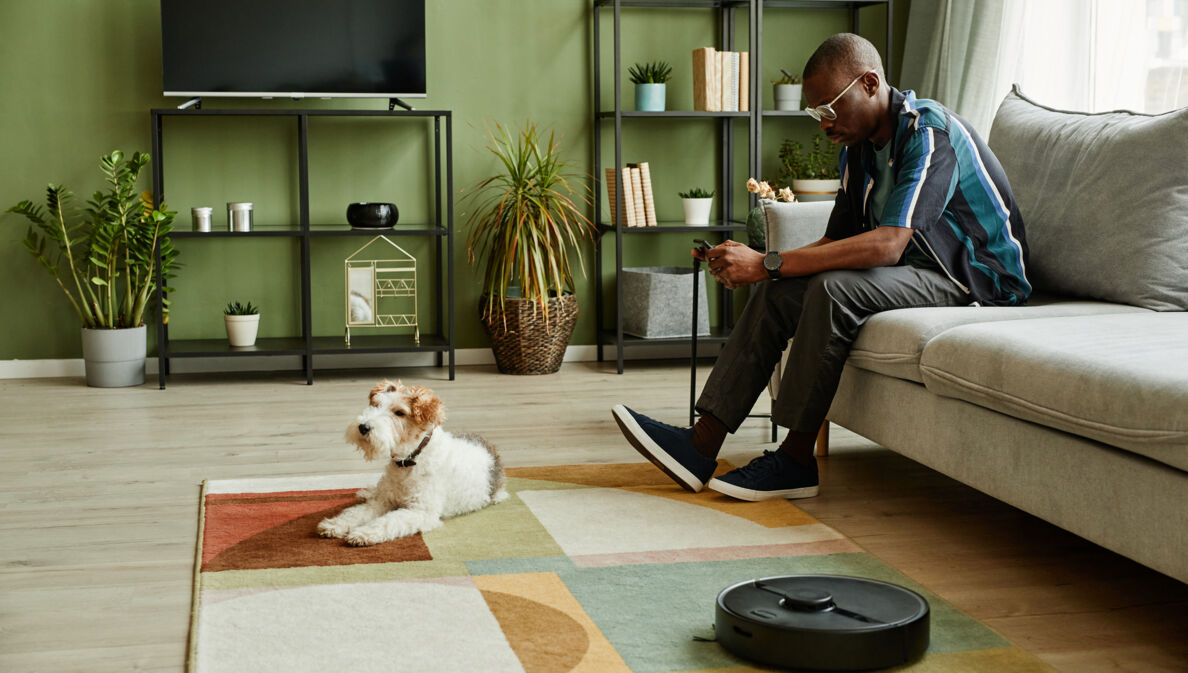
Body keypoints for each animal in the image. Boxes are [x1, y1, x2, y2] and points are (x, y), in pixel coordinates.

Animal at [316, 380, 506, 549]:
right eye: (376, 404)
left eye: (400, 412)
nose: (363, 427)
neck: (409, 460)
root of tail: (490, 448)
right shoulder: (384, 501)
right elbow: (356, 513)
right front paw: (334, 524)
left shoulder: (420, 511)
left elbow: (387, 521)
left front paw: (363, 534)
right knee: (374, 493)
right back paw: (366, 493)